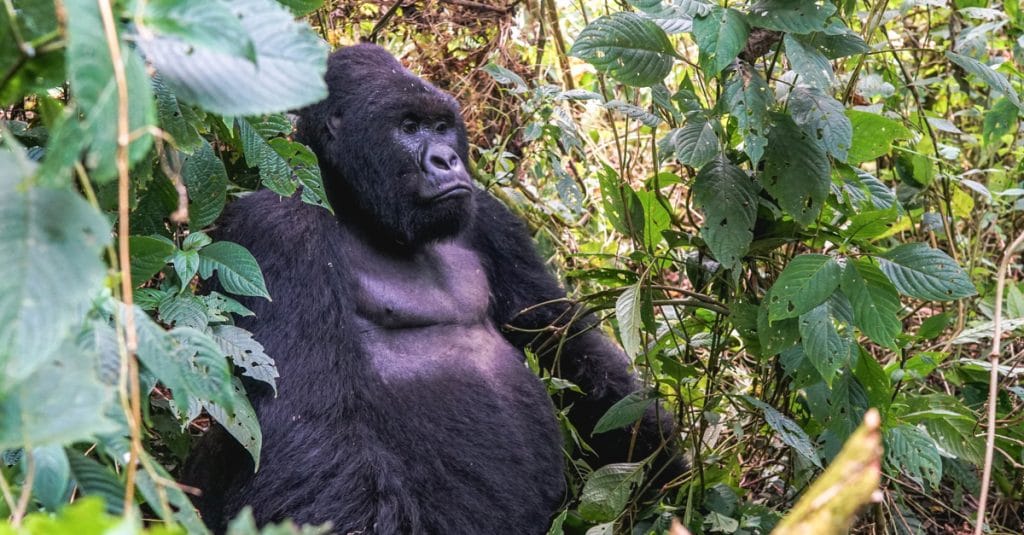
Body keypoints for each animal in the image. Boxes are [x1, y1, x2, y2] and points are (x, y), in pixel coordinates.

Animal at [184, 44, 679, 532]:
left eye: (441, 127)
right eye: (408, 127)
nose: (447, 159)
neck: (355, 207)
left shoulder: (491, 218)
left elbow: (562, 338)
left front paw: (663, 462)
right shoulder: (278, 229)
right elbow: (309, 420)